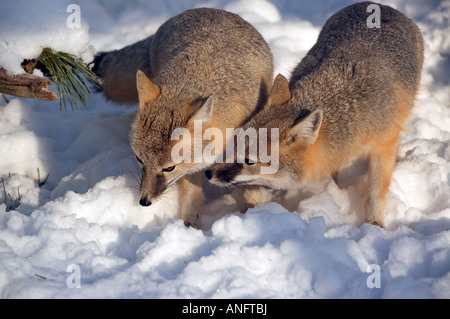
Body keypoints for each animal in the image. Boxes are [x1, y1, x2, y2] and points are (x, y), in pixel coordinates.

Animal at [94, 7, 274, 228]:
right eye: (139, 160)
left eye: (168, 168)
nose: (144, 201)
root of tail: (204, 9)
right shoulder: (191, 167)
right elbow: (191, 193)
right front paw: (190, 226)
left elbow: (249, 183)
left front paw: (254, 211)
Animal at [206, 1, 424, 228]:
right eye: (234, 145)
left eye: (249, 161)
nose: (208, 173)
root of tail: (378, 4)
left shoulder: (385, 144)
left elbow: (374, 190)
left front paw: (374, 222)